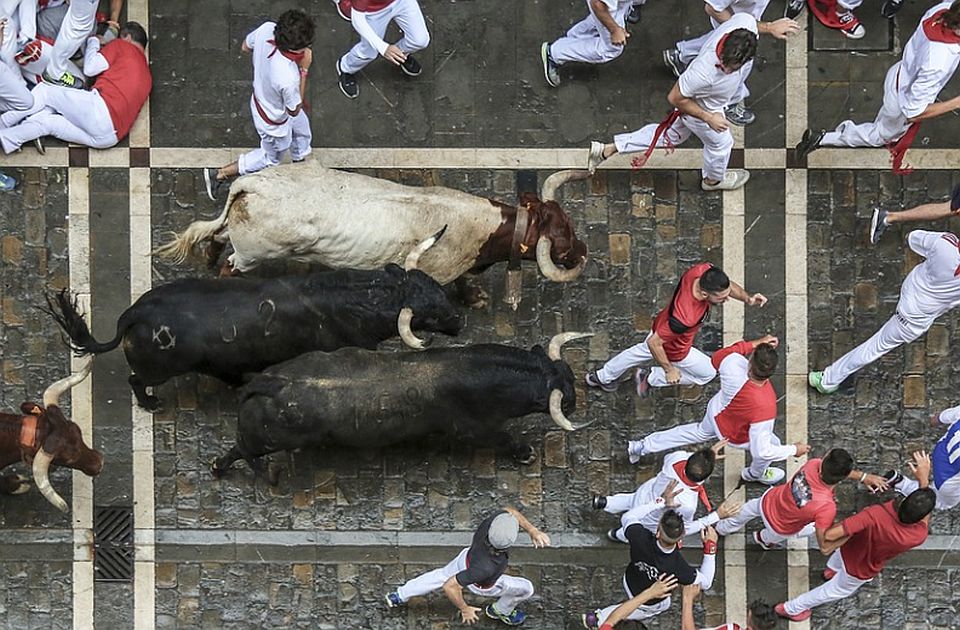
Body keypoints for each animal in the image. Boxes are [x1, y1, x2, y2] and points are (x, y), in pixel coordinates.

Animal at [46, 264, 464, 412]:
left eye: (437, 288)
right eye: (428, 313)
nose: (459, 320)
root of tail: (136, 313)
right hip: (156, 370)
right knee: (136, 380)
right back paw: (151, 404)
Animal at [155, 163, 588, 308]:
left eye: (569, 222)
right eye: (563, 237)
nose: (583, 250)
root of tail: (250, 184)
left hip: (237, 235)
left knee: (216, 239)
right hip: (251, 254)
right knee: (229, 267)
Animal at [212, 330, 592, 474]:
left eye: (568, 375)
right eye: (565, 398)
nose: (575, 403)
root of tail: (269, 382)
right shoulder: (478, 429)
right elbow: (505, 439)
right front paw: (525, 452)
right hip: (265, 440)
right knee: (240, 449)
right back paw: (220, 467)